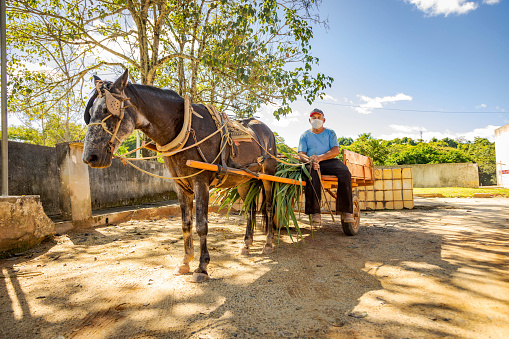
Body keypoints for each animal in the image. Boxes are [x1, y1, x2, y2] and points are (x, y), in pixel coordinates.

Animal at [81, 69, 276, 284]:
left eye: (109, 111)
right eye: (90, 113)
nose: (89, 157)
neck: (185, 129)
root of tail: (266, 130)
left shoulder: (201, 182)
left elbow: (201, 225)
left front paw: (202, 267)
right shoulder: (180, 185)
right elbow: (185, 223)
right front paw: (185, 261)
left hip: (268, 175)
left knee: (269, 207)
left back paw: (268, 243)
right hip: (244, 180)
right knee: (250, 209)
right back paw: (247, 244)